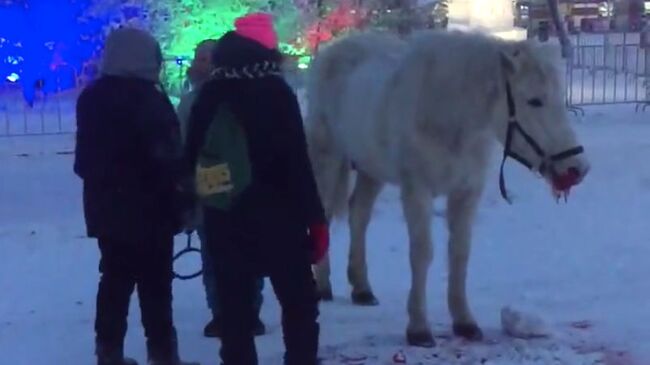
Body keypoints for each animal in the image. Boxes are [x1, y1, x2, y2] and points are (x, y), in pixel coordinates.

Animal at [304, 29, 588, 346]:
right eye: (534, 101)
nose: (577, 168)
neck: (447, 115)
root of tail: (334, 49)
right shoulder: (417, 190)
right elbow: (422, 253)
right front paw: (418, 327)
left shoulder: (466, 192)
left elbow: (460, 253)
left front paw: (464, 322)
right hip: (327, 158)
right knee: (325, 216)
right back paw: (323, 286)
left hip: (370, 169)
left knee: (359, 216)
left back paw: (362, 288)